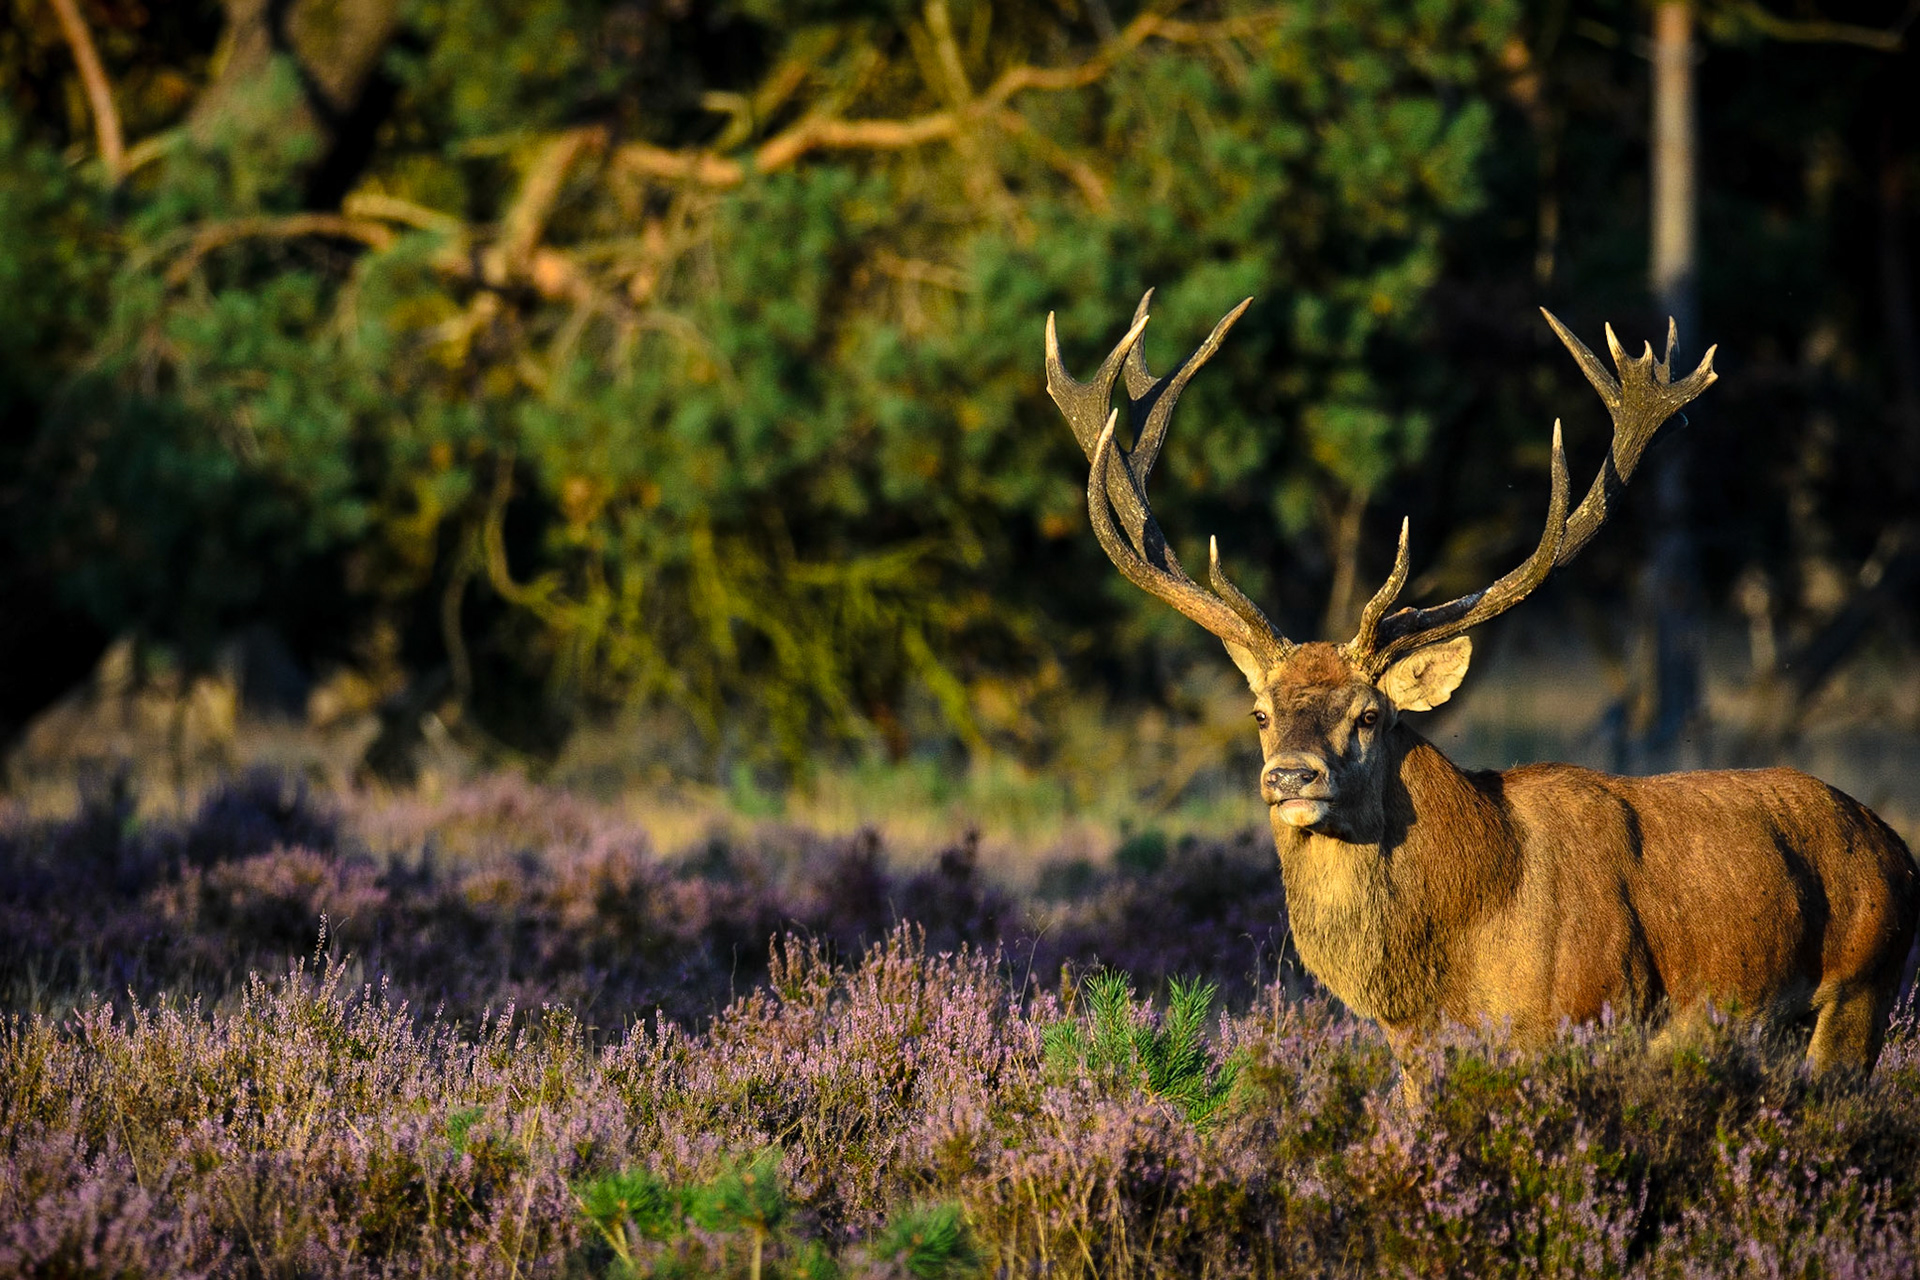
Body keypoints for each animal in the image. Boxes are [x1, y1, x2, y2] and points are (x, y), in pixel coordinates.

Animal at [1045, 293, 1919, 1090]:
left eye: (1370, 715)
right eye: (1260, 712)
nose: (1291, 774)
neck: (1459, 956)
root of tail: (1898, 847)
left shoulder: (1586, 1018)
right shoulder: (1413, 1053)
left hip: (1859, 993)